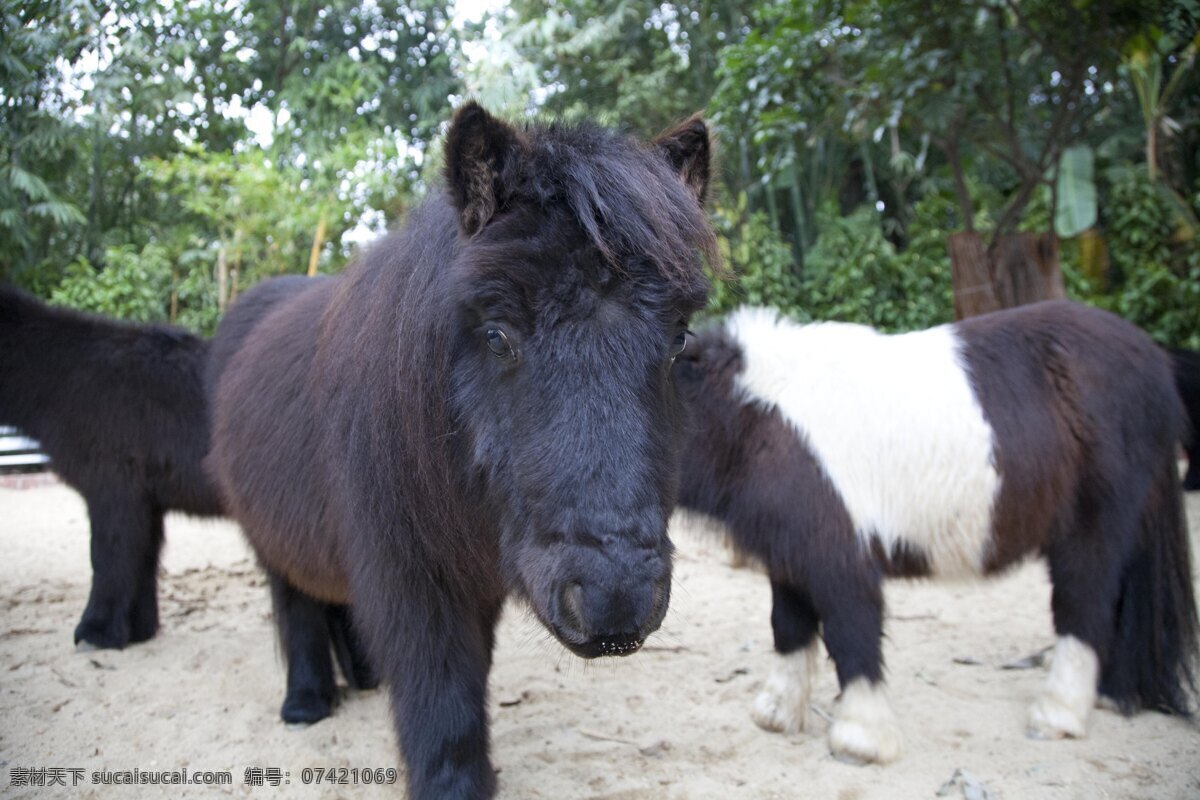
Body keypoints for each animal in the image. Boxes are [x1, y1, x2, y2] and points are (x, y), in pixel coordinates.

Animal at [0, 285, 223, 648]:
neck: (64, 376)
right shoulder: (145, 501)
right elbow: (141, 560)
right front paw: (138, 630)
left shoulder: (114, 491)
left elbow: (108, 557)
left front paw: (96, 631)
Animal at [205, 102, 716, 799]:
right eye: (497, 334)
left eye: (679, 339)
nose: (615, 599)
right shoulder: (413, 582)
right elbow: (441, 702)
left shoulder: (475, 589)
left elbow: (465, 690)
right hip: (271, 541)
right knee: (297, 607)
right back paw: (306, 703)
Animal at [673, 301, 1198, 765]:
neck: (764, 418)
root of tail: (1154, 362)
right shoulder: (789, 556)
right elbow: (789, 627)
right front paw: (778, 713)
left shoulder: (841, 559)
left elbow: (850, 632)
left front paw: (862, 738)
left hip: (1091, 531)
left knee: (1084, 607)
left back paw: (1058, 714)